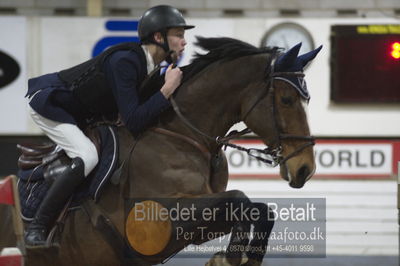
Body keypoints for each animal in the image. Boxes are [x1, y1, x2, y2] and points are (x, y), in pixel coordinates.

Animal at [0, 37, 320, 266]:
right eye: (287, 100)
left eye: (308, 99)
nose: (306, 169)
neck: (182, 132)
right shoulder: (158, 217)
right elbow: (241, 198)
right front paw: (228, 259)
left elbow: (261, 209)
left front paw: (242, 257)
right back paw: (36, 235)